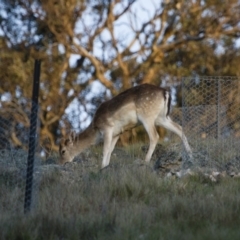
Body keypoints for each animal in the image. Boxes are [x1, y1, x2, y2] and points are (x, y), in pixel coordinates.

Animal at [59, 84, 192, 169]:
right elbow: (110, 150)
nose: (62, 163)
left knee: (155, 136)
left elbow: (105, 150)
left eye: (63, 151)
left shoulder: (107, 128)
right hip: (162, 117)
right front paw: (106, 166)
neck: (96, 130)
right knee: (179, 128)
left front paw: (101, 167)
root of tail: (165, 92)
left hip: (147, 116)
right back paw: (189, 153)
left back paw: (146, 160)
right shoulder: (117, 133)